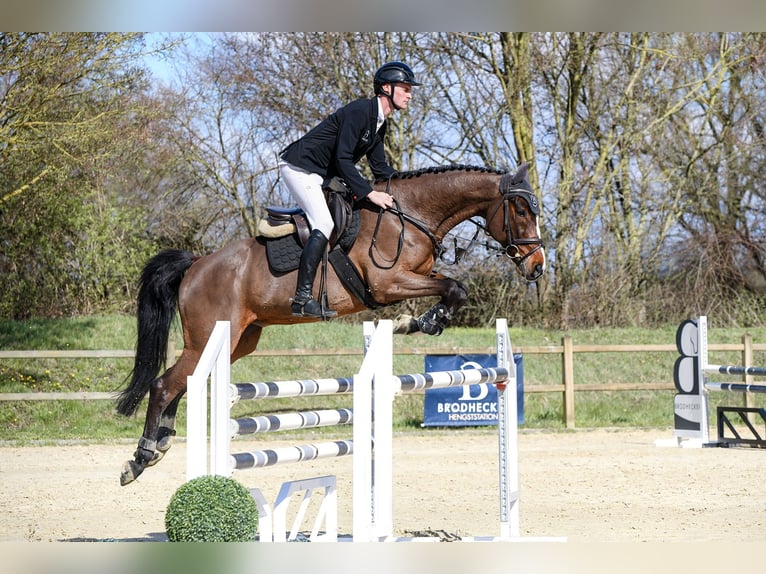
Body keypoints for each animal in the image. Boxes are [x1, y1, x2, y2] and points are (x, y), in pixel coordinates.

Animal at [116, 162, 545, 485]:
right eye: (522, 211)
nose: (537, 267)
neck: (411, 215)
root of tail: (196, 264)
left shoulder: (417, 275)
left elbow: (454, 287)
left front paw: (421, 321)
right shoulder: (388, 282)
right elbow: (455, 287)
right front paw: (416, 321)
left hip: (240, 340)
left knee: (183, 381)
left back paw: (161, 444)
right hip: (211, 336)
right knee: (164, 384)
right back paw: (141, 457)